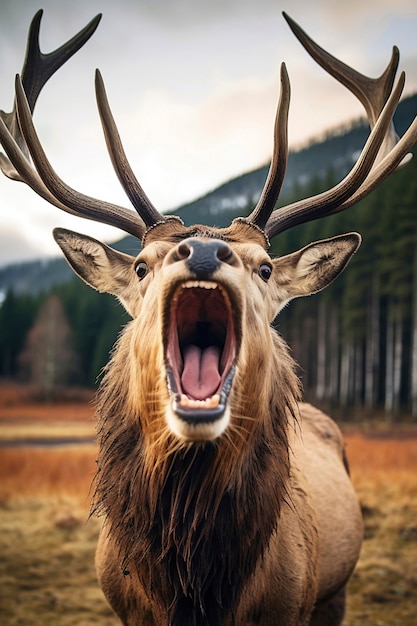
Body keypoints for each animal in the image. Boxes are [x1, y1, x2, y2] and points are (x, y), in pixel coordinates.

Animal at [0, 9, 416, 624]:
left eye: (264, 267)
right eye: (141, 265)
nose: (200, 250)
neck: (195, 585)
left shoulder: (293, 603)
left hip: (334, 592)